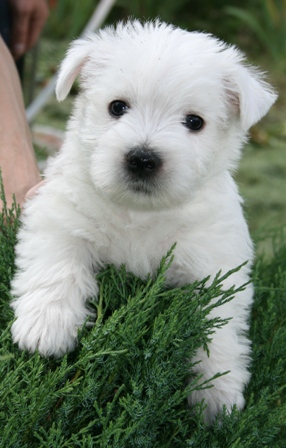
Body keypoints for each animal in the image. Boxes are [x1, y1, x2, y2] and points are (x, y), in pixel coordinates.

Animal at [10, 20, 274, 420]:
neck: (139, 212)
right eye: (117, 107)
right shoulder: (59, 214)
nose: (142, 158)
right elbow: (58, 265)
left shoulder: (215, 262)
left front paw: (217, 392)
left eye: (194, 122)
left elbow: (218, 326)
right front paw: (46, 327)